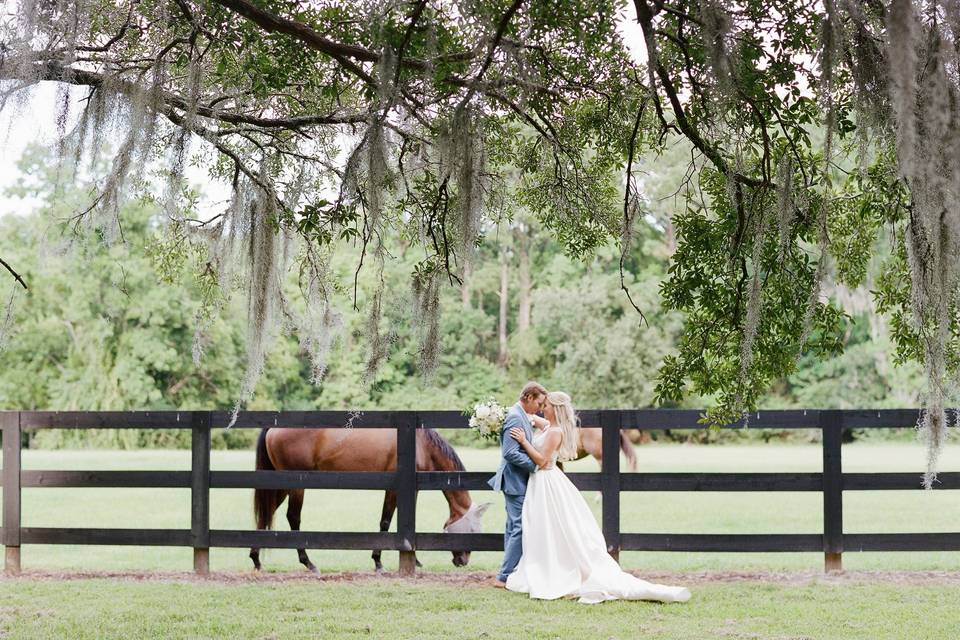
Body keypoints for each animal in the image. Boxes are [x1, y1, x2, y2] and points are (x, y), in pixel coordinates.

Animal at [249, 428, 488, 572]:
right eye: (473, 530)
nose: (463, 561)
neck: (419, 444)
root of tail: (273, 428)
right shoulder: (395, 490)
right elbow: (386, 521)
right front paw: (379, 562)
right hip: (295, 486)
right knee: (293, 517)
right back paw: (308, 562)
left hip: (281, 486)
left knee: (266, 514)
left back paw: (256, 559)